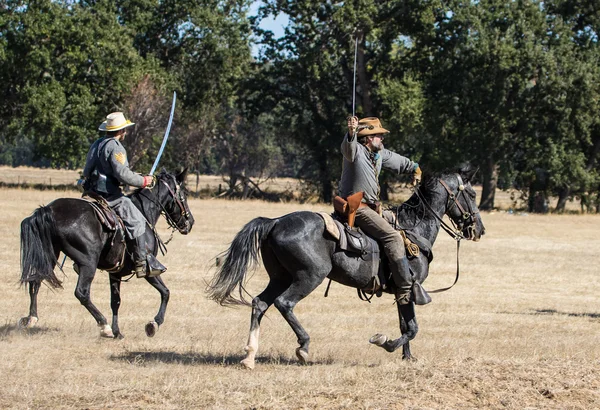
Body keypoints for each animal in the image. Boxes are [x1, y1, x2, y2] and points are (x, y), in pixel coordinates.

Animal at [19, 168, 195, 338]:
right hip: (88, 263)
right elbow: (165, 292)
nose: (190, 222)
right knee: (82, 293)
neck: (144, 212)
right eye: (184, 194)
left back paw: (31, 318)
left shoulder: (115, 272)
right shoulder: (148, 269)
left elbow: (115, 301)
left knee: (36, 281)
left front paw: (118, 332)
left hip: (49, 256)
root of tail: (48, 210)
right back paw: (104, 326)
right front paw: (153, 324)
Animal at [209, 167, 486, 368]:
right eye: (472, 195)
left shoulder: (401, 292)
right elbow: (412, 327)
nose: (479, 229)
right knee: (284, 303)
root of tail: (275, 222)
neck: (414, 229)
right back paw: (303, 347)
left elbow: (406, 325)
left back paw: (249, 356)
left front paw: (407, 357)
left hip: (279, 277)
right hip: (308, 276)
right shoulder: (408, 286)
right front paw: (386, 343)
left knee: (260, 303)